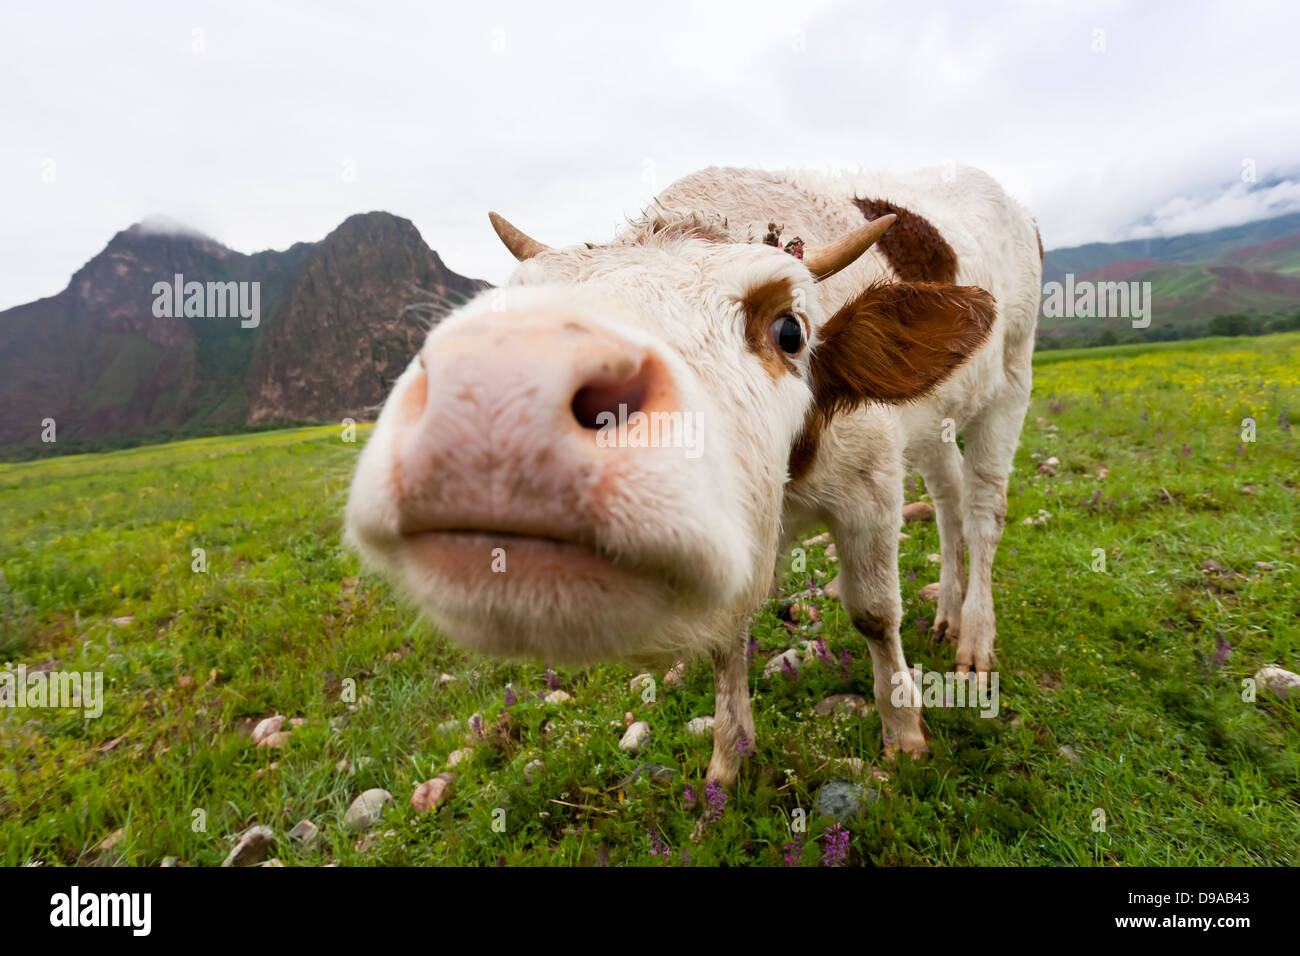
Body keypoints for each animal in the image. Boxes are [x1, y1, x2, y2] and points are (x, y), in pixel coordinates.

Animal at [343, 164, 1034, 785]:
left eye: (790, 330)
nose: (504, 396)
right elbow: (727, 637)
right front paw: (728, 764)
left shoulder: (871, 486)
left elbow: (873, 612)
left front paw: (905, 736)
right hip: (937, 423)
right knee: (948, 500)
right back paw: (947, 616)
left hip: (1011, 382)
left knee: (983, 512)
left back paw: (975, 639)